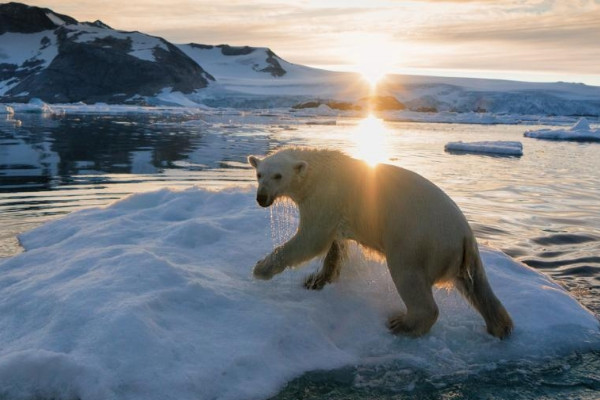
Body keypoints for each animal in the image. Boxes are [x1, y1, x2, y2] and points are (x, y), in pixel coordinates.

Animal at [248, 147, 516, 338]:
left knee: (408, 277)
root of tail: (465, 235)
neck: (319, 171)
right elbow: (335, 246)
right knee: (477, 287)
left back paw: (403, 324)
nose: (261, 198)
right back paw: (501, 326)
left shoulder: (326, 197)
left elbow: (312, 239)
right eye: (259, 174)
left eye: (278, 175)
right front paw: (316, 280)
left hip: (417, 240)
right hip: (461, 256)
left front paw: (261, 268)